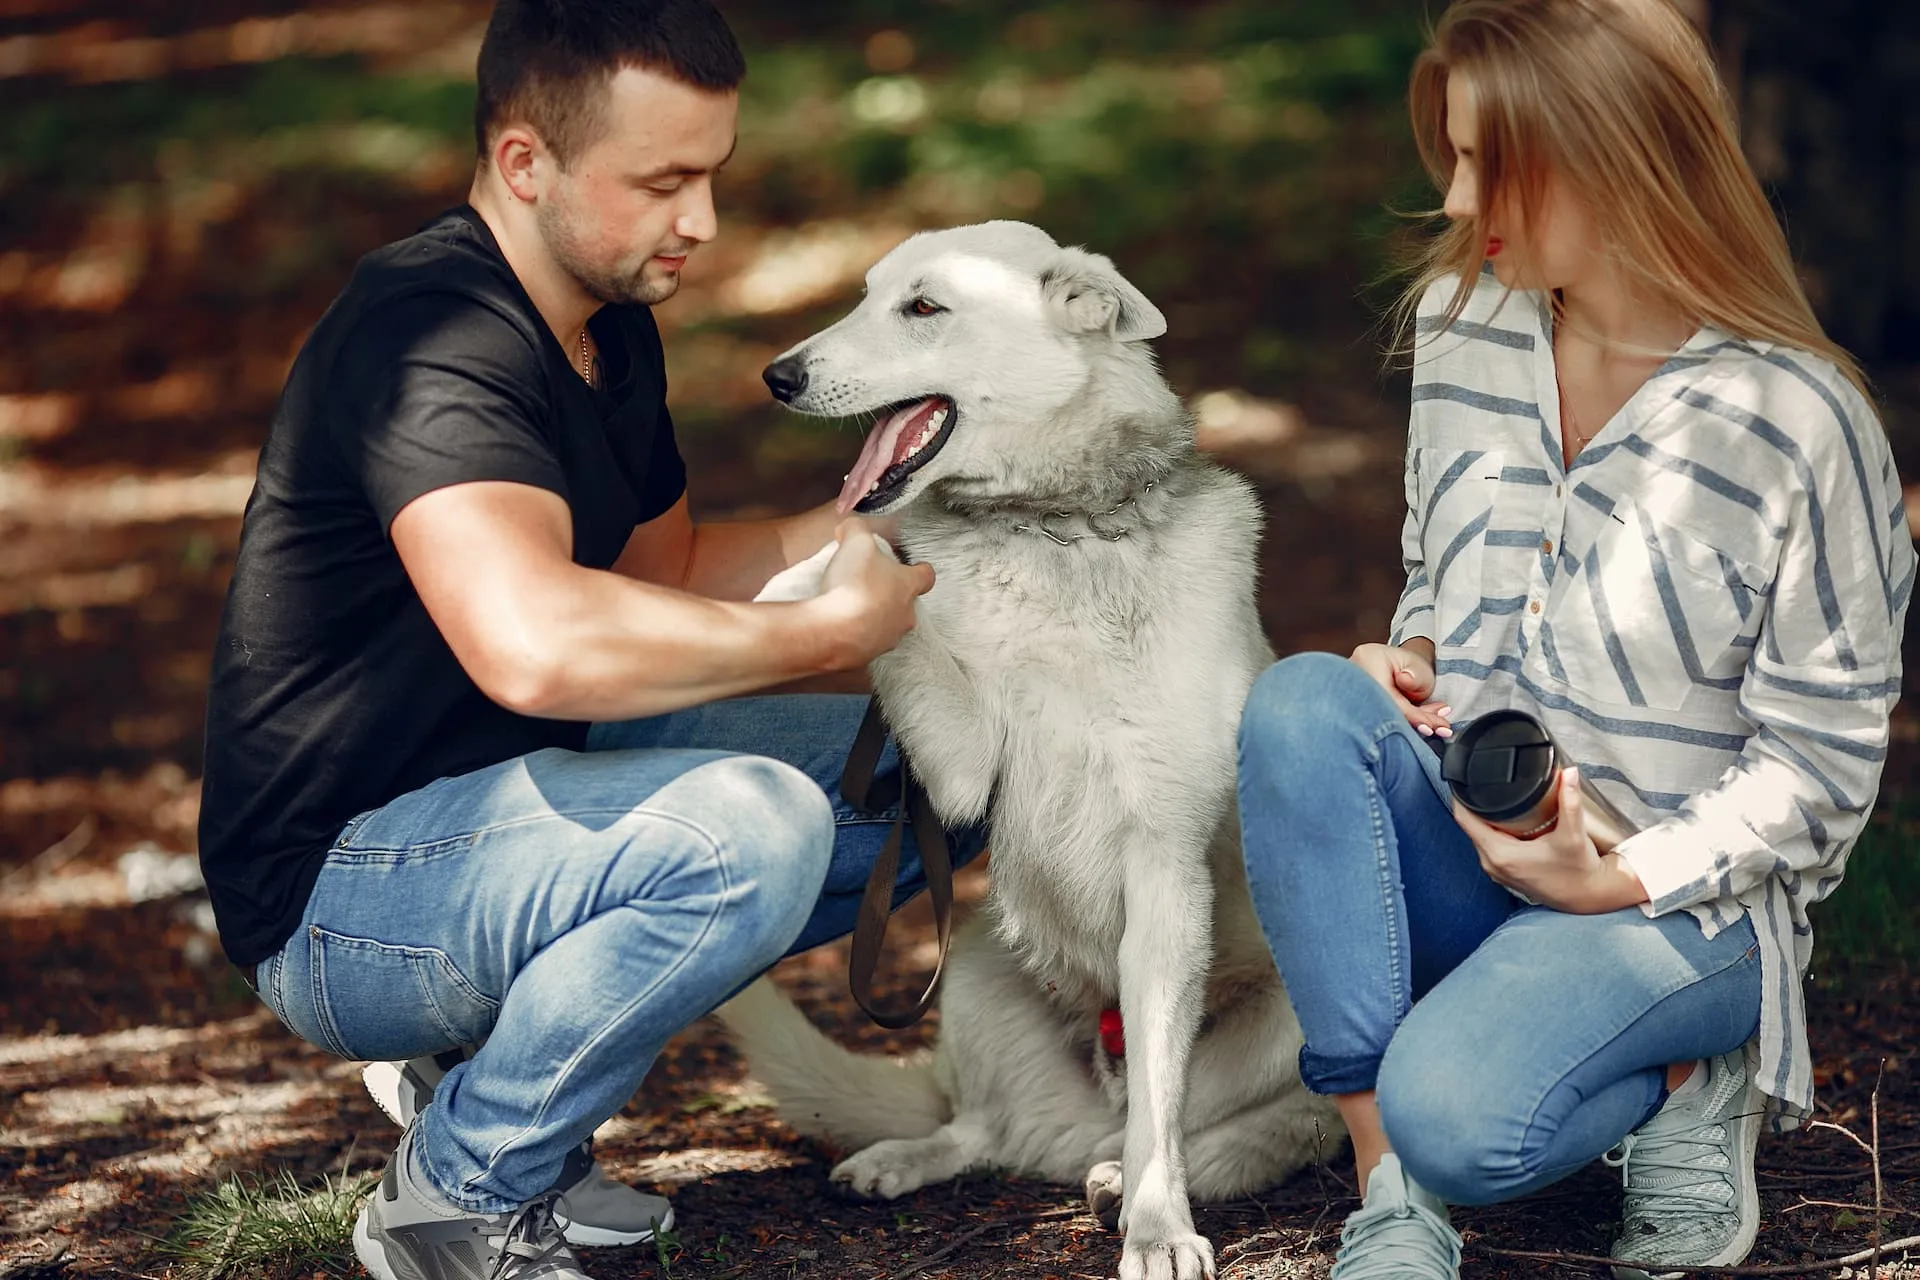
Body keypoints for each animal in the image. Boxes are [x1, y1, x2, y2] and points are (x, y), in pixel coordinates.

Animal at [718, 222, 1336, 1280]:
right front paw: (804, 585)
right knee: (982, 1131)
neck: (1057, 530)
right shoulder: (962, 766)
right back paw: (909, 1157)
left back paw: (1125, 1180)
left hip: (1296, 1007)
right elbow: (894, 594)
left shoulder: (1165, 871)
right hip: (970, 968)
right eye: (866, 293)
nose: (778, 376)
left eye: (924, 307)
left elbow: (1165, 1106)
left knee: (1234, 1126)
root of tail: (1082, 1109)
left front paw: (1158, 1229)